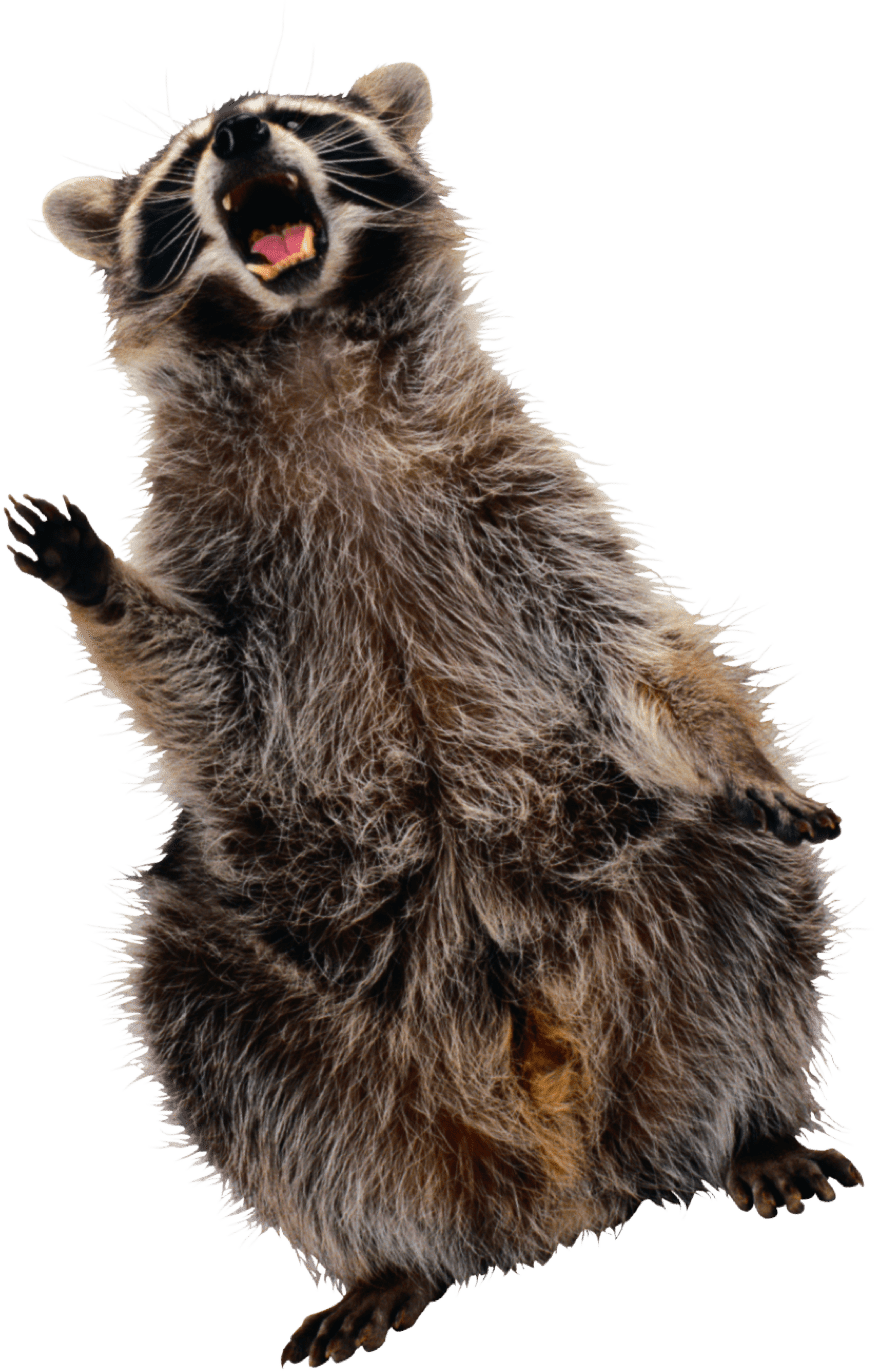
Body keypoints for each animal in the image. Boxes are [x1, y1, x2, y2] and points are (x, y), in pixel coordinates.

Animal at [6, 60, 864, 1367]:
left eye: (300, 118)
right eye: (185, 158)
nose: (241, 130)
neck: (306, 346)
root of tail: (570, 1173)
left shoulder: (529, 492)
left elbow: (643, 646)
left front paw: (743, 750)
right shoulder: (216, 549)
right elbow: (199, 684)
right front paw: (99, 586)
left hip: (666, 897)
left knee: (746, 884)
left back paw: (751, 1122)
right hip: (271, 997)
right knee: (198, 1015)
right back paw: (385, 1250)